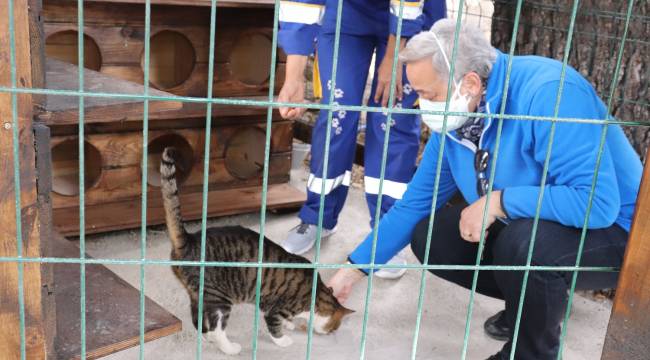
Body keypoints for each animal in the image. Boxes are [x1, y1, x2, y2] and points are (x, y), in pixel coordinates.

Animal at [159, 147, 352, 354]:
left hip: (200, 295)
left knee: (198, 320)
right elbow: (275, 327)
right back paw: (229, 347)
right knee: (217, 328)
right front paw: (284, 339)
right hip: (220, 299)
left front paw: (290, 324)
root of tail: (190, 240)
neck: (316, 293)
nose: (331, 333)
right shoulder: (276, 309)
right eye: (334, 327)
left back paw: (207, 337)